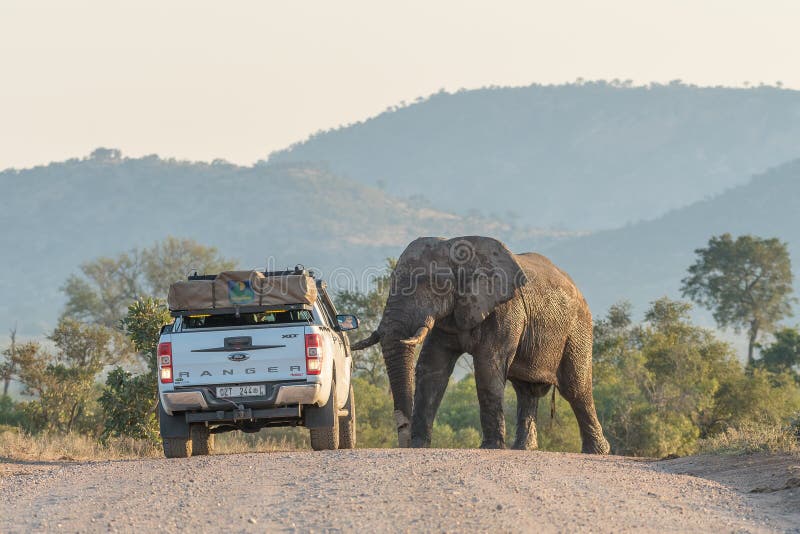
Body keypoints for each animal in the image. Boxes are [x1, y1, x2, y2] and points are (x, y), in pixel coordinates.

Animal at [354, 237, 608, 454]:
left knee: (575, 387)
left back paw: (597, 451)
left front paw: (491, 447)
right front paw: (418, 445)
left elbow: (488, 366)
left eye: (431, 284)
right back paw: (524, 449)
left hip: (578, 329)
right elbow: (432, 369)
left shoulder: (506, 310)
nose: (404, 440)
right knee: (526, 390)